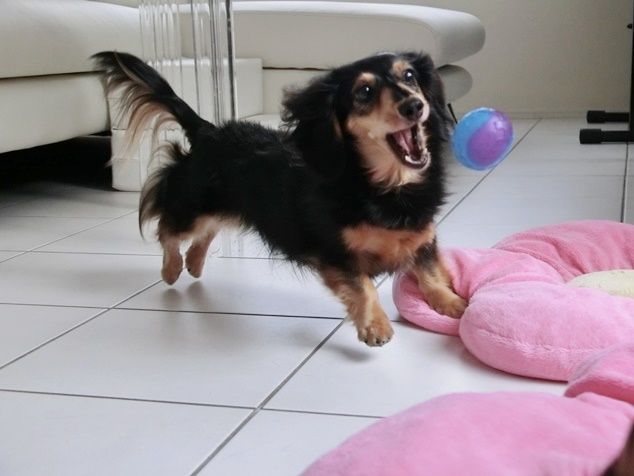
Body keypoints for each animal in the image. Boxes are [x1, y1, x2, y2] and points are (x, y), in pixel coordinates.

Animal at [94, 51, 467, 347]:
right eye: (364, 91)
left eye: (410, 76)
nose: (415, 105)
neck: (388, 188)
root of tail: (208, 130)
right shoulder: (336, 254)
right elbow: (364, 287)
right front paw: (375, 326)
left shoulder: (422, 237)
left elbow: (431, 275)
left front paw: (454, 303)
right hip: (193, 205)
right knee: (169, 230)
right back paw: (172, 268)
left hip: (227, 206)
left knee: (207, 231)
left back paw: (194, 263)